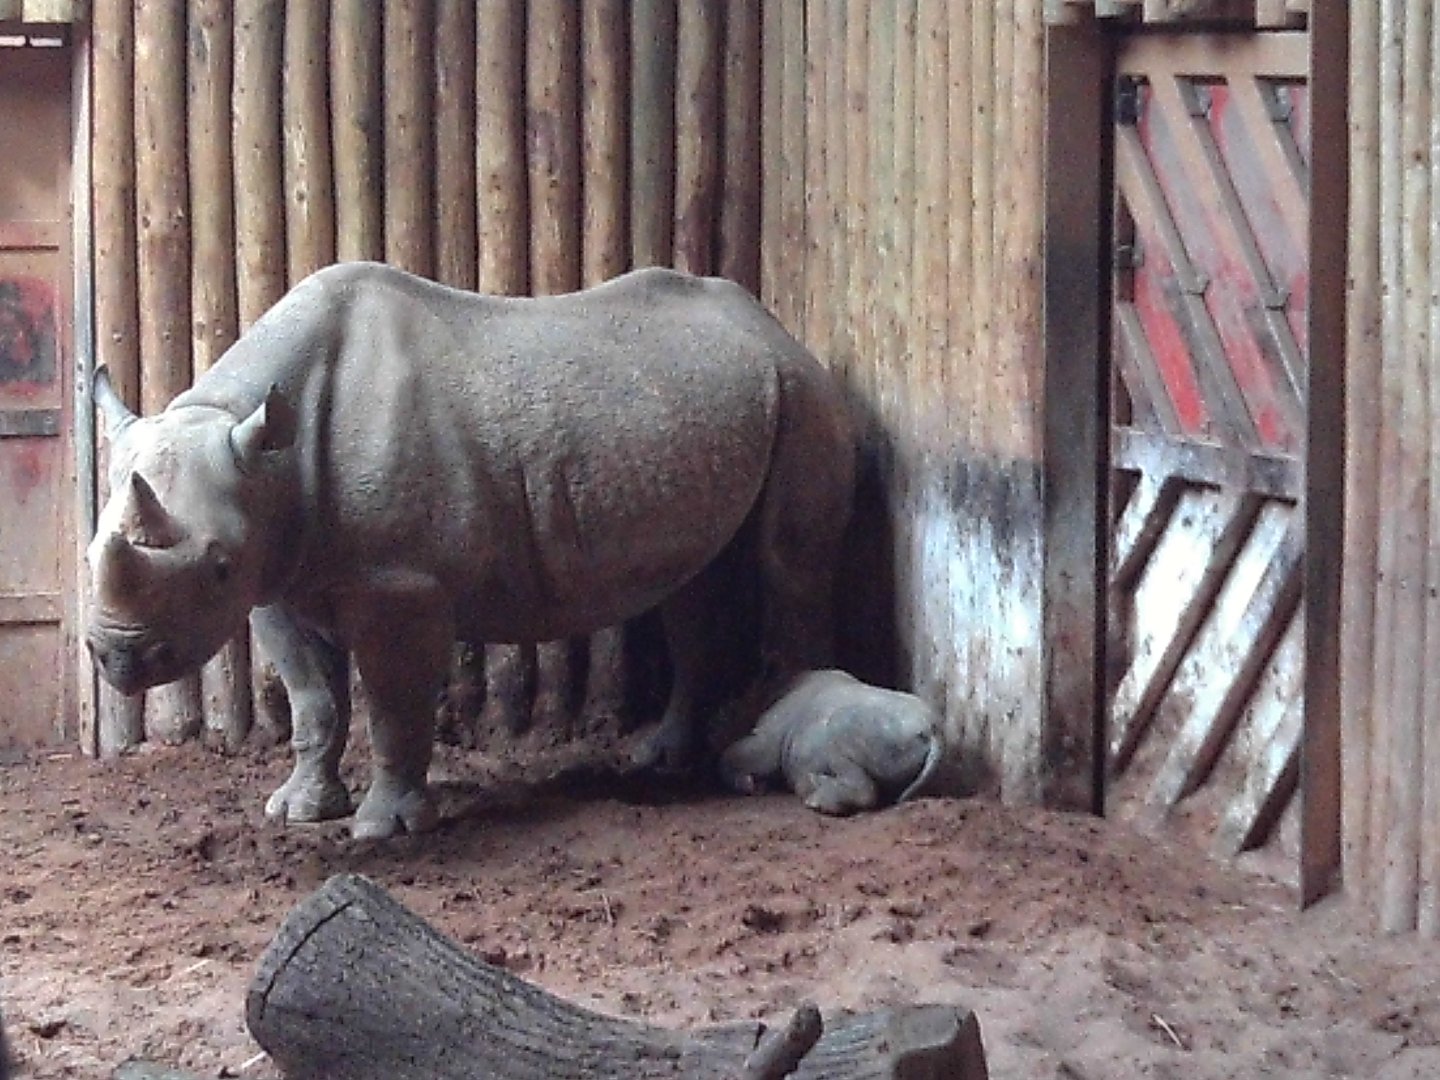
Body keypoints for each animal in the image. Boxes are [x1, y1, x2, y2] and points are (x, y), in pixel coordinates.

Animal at [86, 263, 855, 839]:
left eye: (217, 567)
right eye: (91, 551)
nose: (119, 656)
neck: (260, 452)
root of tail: (771, 325)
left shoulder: (400, 586)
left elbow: (394, 705)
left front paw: (385, 828)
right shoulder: (275, 570)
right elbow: (313, 701)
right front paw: (298, 809)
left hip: (802, 391)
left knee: (789, 566)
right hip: (711, 400)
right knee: (694, 587)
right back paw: (662, 760)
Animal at [719, 669, 945, 816]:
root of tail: (931, 729)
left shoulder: (768, 738)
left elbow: (743, 754)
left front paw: (747, 785)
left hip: (878, 724)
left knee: (838, 738)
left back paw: (815, 799)